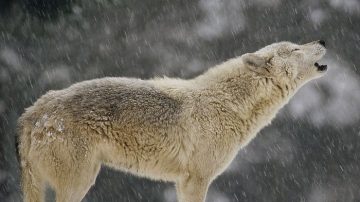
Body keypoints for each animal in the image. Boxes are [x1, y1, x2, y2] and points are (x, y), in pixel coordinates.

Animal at [16, 40, 326, 201]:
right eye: (296, 49)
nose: (322, 41)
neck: (228, 103)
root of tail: (34, 111)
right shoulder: (196, 180)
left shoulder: (182, 182)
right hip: (78, 183)